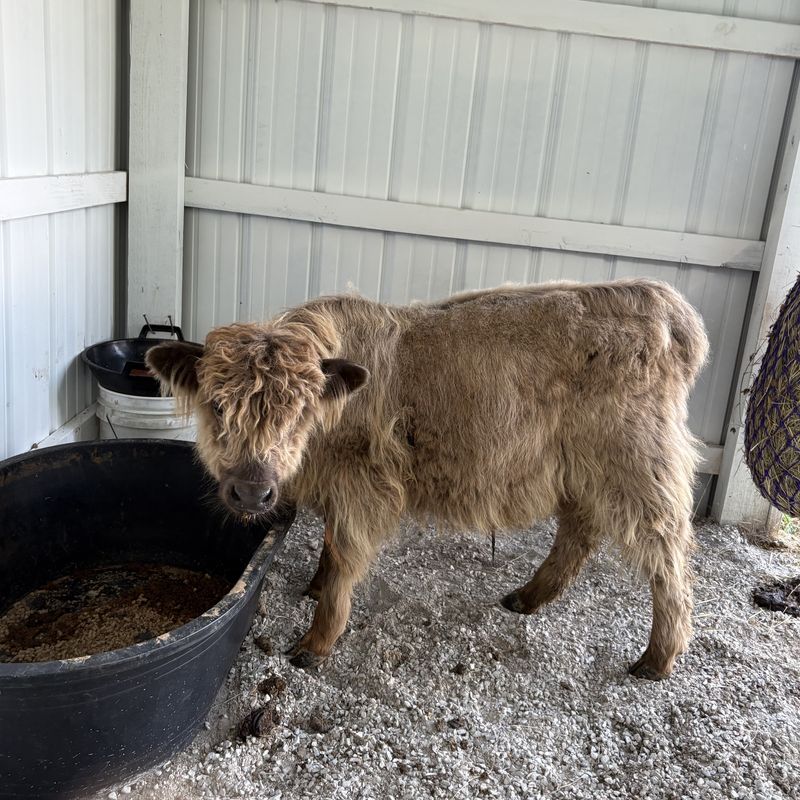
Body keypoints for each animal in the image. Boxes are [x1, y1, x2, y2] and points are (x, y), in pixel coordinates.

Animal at [146, 278, 709, 680]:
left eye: (302, 411)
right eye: (217, 405)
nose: (251, 490)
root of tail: (662, 301)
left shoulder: (363, 487)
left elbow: (344, 555)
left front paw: (315, 643)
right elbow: (328, 544)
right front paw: (313, 586)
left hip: (640, 466)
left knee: (667, 552)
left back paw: (657, 658)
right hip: (580, 470)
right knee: (580, 531)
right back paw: (527, 598)